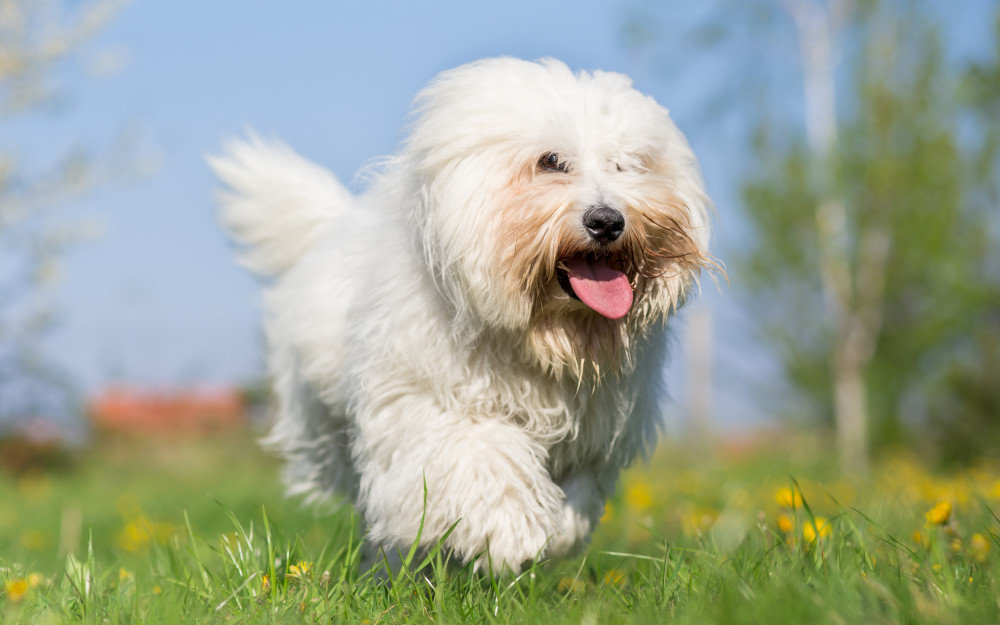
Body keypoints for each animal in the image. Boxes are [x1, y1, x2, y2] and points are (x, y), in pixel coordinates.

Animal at [211, 56, 712, 572]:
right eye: (550, 161)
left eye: (628, 164)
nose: (608, 221)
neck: (543, 333)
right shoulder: (428, 403)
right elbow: (479, 456)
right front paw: (511, 531)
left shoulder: (596, 434)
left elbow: (579, 494)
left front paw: (557, 534)